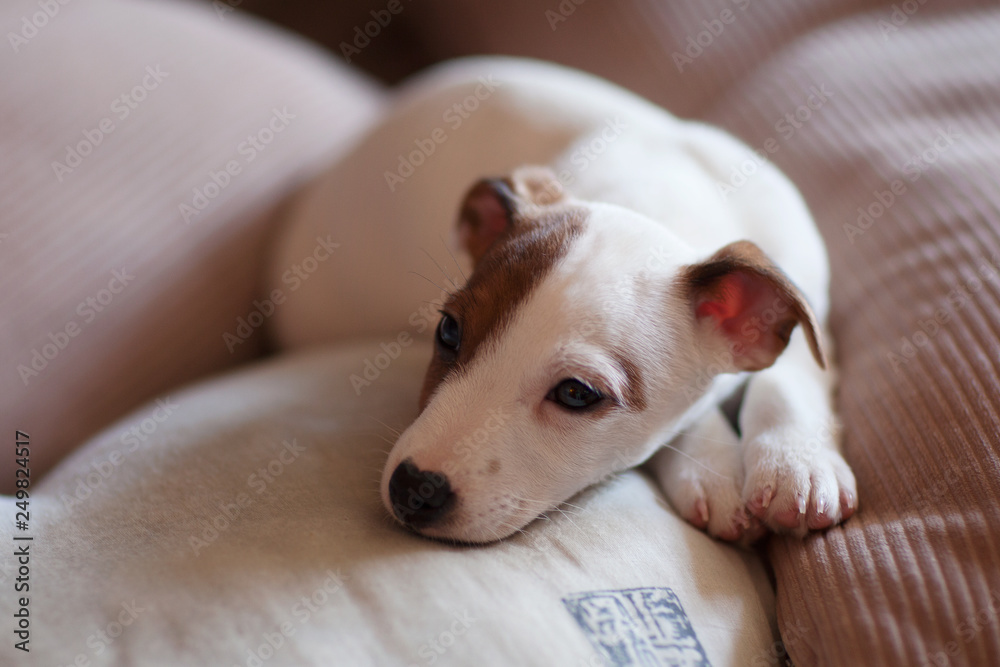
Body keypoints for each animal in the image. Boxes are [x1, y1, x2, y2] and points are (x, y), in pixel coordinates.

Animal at [368, 60, 860, 544]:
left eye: (576, 393)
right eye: (449, 331)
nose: (412, 488)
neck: (657, 193)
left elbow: (788, 376)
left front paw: (797, 462)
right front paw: (711, 467)